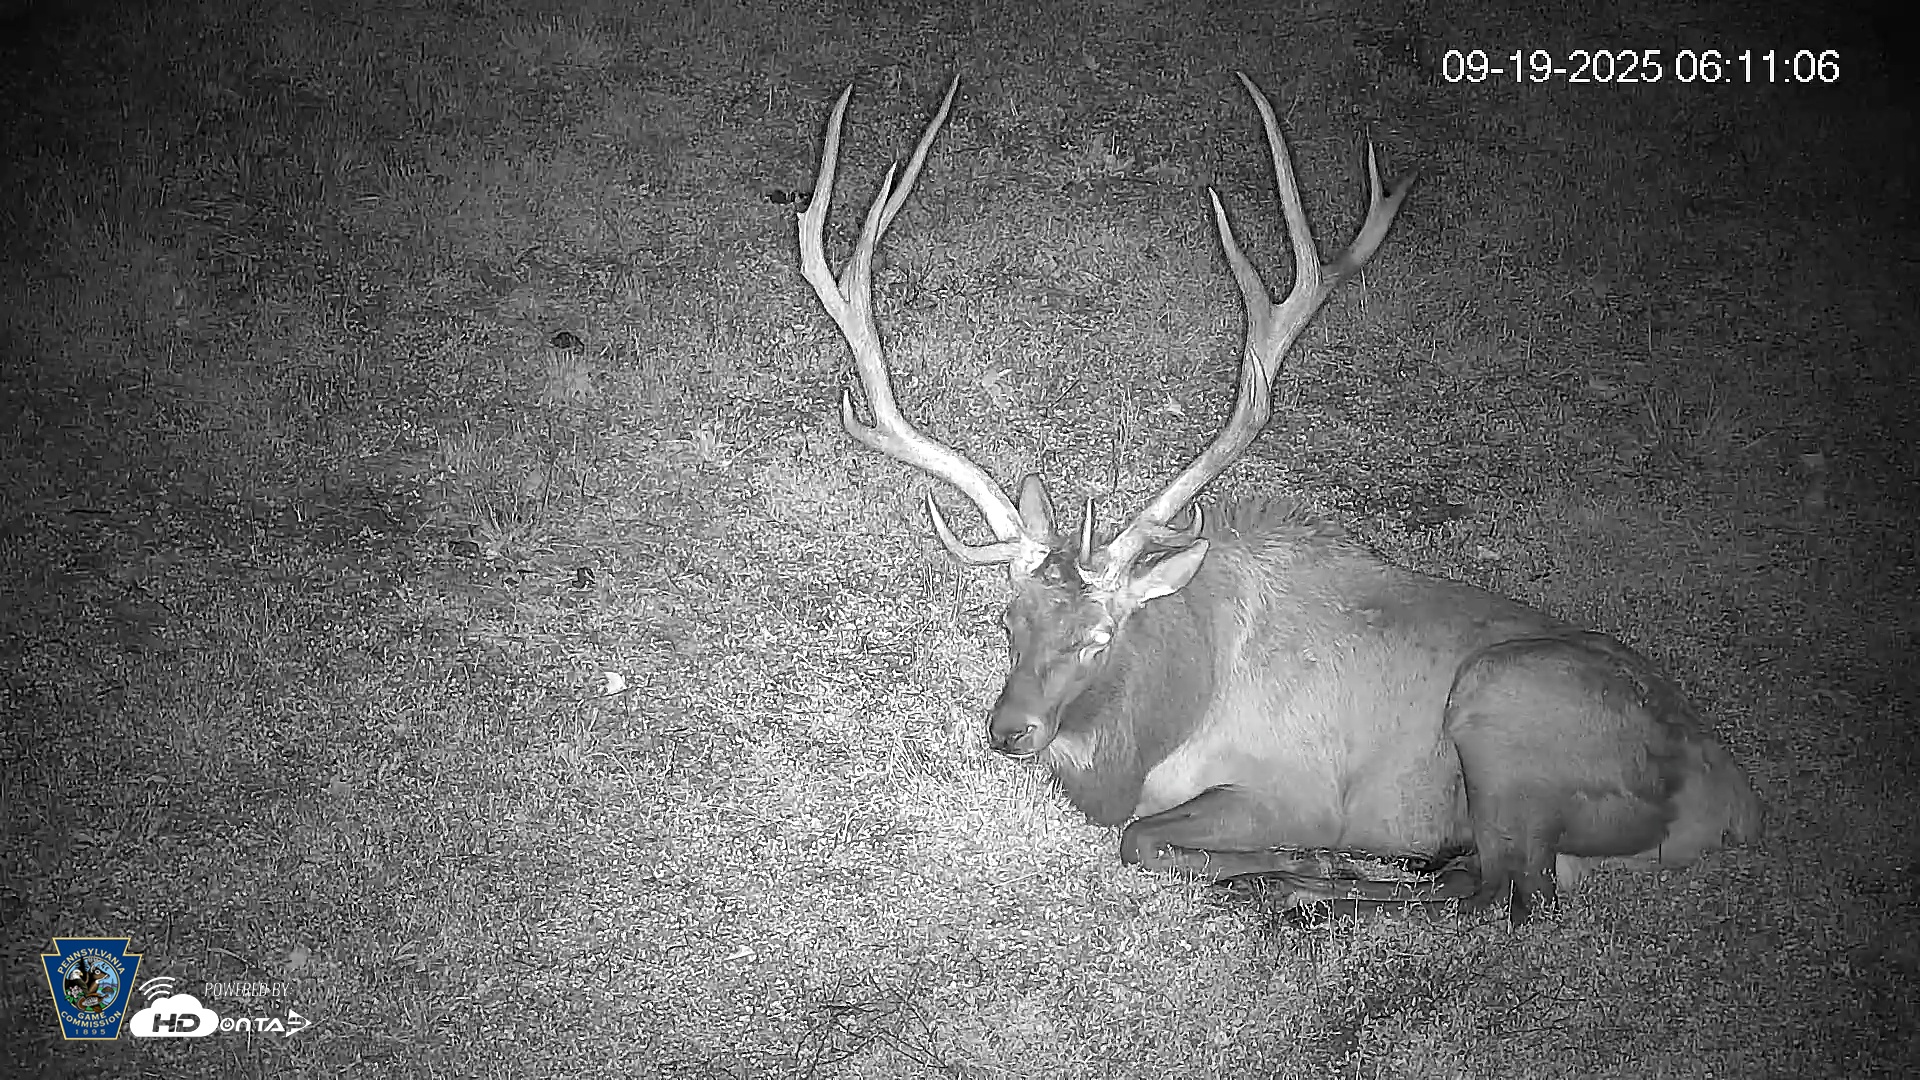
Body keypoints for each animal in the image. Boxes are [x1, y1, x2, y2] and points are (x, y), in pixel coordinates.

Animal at [795, 73, 1763, 924]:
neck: (1158, 722)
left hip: (1507, 708)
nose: (1010, 731)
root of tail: (1727, 796)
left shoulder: (1298, 788)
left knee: (1508, 896)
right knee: (1488, 882)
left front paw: (1294, 863)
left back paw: (1305, 889)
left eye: (1100, 635)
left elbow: (1142, 840)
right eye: (1007, 620)